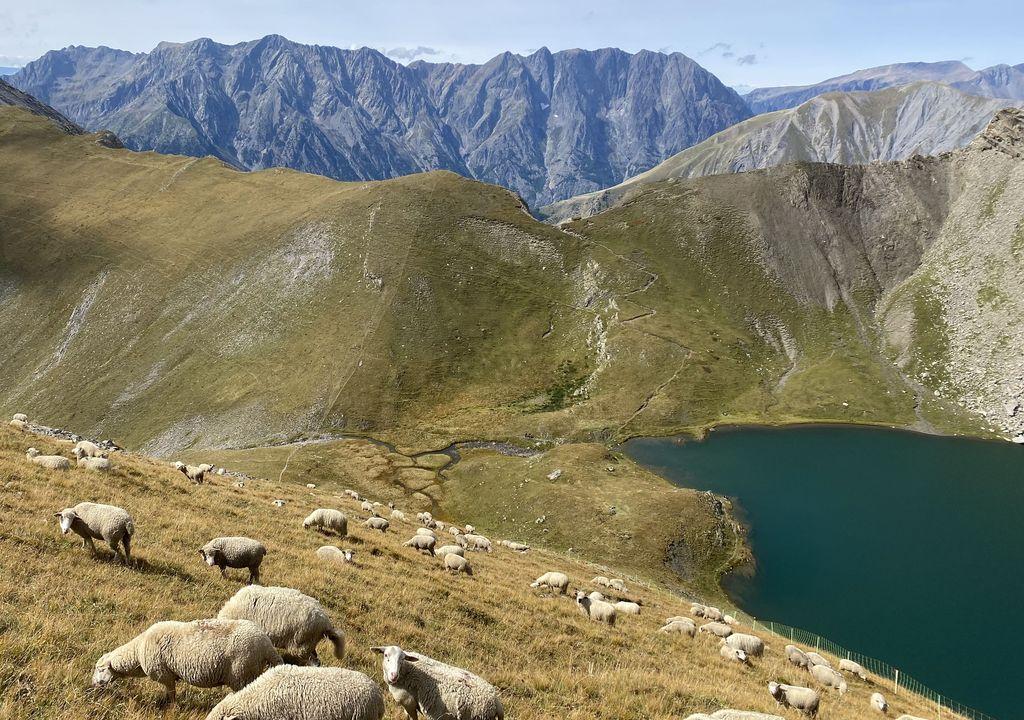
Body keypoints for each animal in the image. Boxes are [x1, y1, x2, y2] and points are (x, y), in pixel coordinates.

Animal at [92, 619, 281, 702]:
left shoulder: (164, 674)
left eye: (100, 669)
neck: (138, 651)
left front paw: (170, 706)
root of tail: (266, 645)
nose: (93, 684)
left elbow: (171, 694)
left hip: (242, 673)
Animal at [371, 645, 503, 720]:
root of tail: (496, 701)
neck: (407, 670)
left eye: (402, 659)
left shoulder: (408, 702)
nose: (394, 675)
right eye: (386, 655)